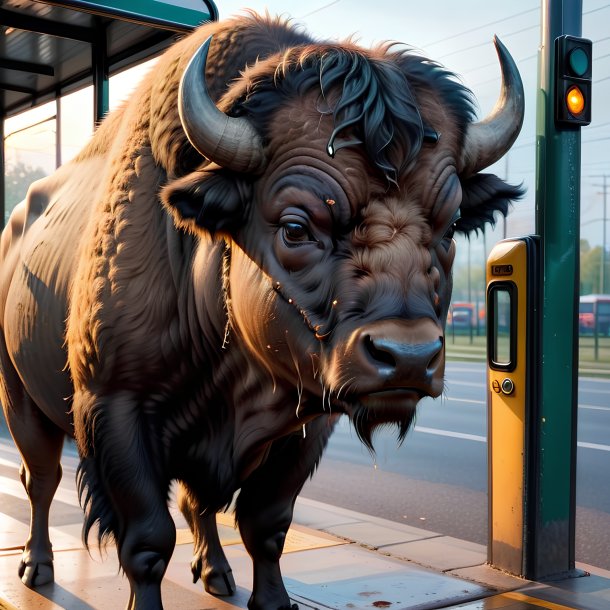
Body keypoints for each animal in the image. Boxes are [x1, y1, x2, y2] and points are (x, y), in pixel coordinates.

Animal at [0, 11, 524, 608]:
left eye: (450, 227)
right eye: (295, 226)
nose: (409, 357)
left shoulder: (308, 424)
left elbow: (266, 525)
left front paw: (269, 598)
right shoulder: (113, 409)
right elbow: (148, 542)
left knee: (196, 502)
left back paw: (216, 572)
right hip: (20, 398)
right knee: (40, 480)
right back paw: (37, 567)